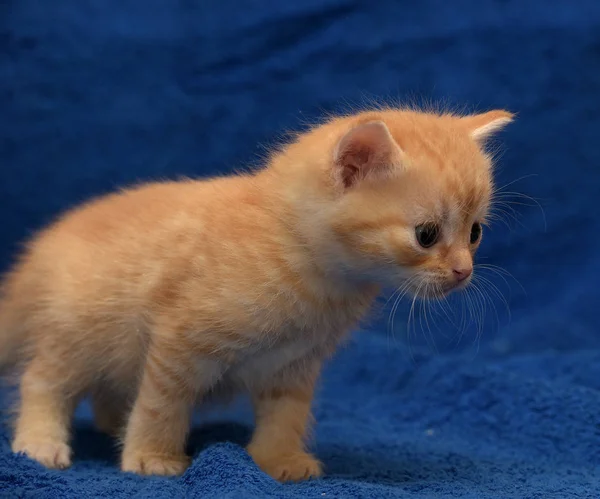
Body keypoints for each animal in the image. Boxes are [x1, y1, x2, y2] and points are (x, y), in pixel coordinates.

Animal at [1, 107, 510, 482]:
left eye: (475, 232)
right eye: (426, 235)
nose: (463, 271)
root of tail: (37, 255)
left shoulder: (295, 364)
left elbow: (286, 415)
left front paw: (278, 460)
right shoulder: (180, 340)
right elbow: (162, 402)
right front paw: (151, 456)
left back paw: (113, 424)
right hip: (76, 334)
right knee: (43, 381)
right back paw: (41, 443)